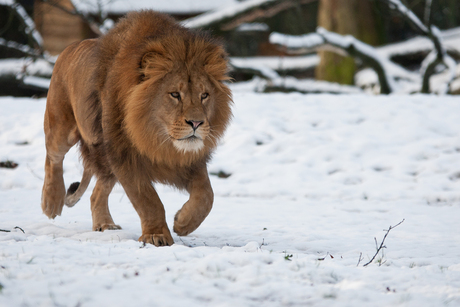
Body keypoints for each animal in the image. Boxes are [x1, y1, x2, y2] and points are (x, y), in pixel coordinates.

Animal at [40, 10, 232, 248]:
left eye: (204, 95)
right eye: (174, 94)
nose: (196, 123)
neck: (156, 139)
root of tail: (68, 48)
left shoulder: (190, 160)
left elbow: (207, 195)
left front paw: (183, 222)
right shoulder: (123, 155)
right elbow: (148, 200)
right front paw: (157, 236)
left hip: (104, 159)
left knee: (96, 193)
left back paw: (105, 224)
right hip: (62, 127)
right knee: (53, 159)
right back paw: (51, 202)